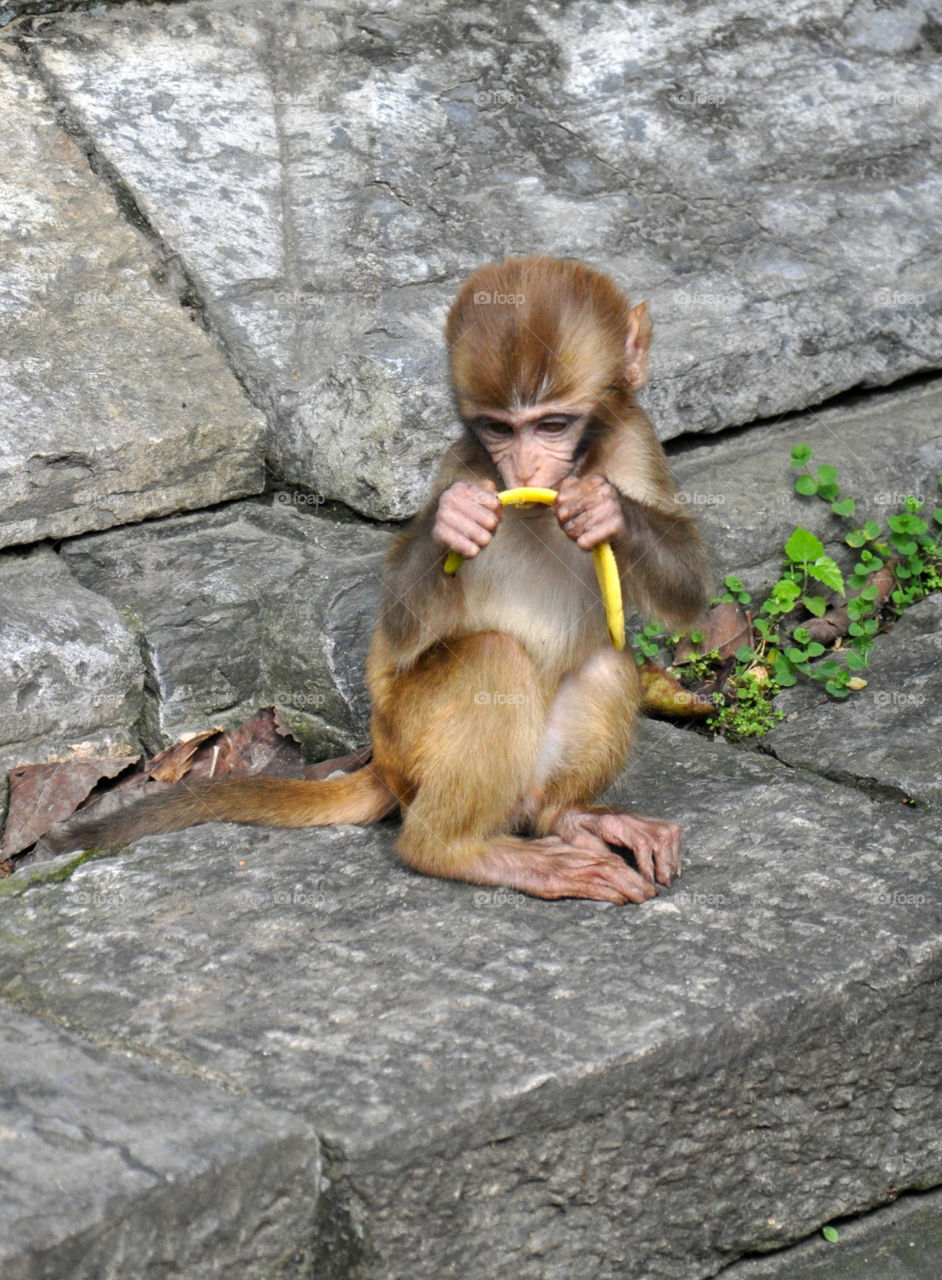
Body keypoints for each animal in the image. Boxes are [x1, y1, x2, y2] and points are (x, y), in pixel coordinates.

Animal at [55, 256, 712, 904]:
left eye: (551, 425)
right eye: (500, 429)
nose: (524, 469)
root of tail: (381, 762)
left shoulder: (635, 437)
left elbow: (688, 590)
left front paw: (604, 509)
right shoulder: (464, 466)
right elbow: (399, 623)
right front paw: (453, 523)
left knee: (606, 665)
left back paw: (569, 818)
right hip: (409, 740)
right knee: (494, 658)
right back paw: (456, 851)